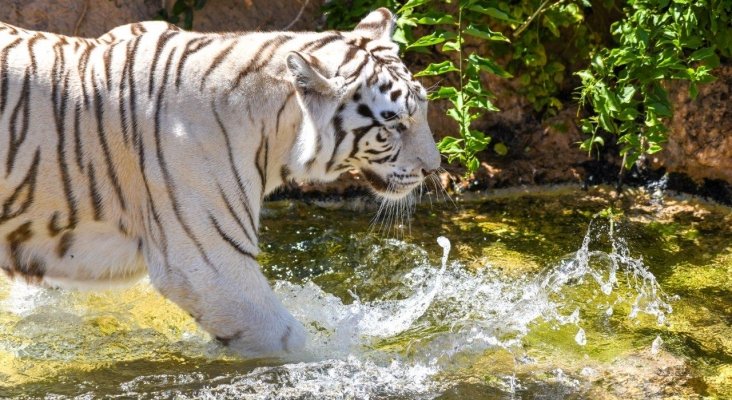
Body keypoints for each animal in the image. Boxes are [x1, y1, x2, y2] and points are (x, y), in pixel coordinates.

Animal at [0, 7, 440, 354]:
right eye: (394, 124)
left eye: (422, 109)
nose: (433, 168)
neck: (275, 131)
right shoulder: (208, 263)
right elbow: (289, 341)